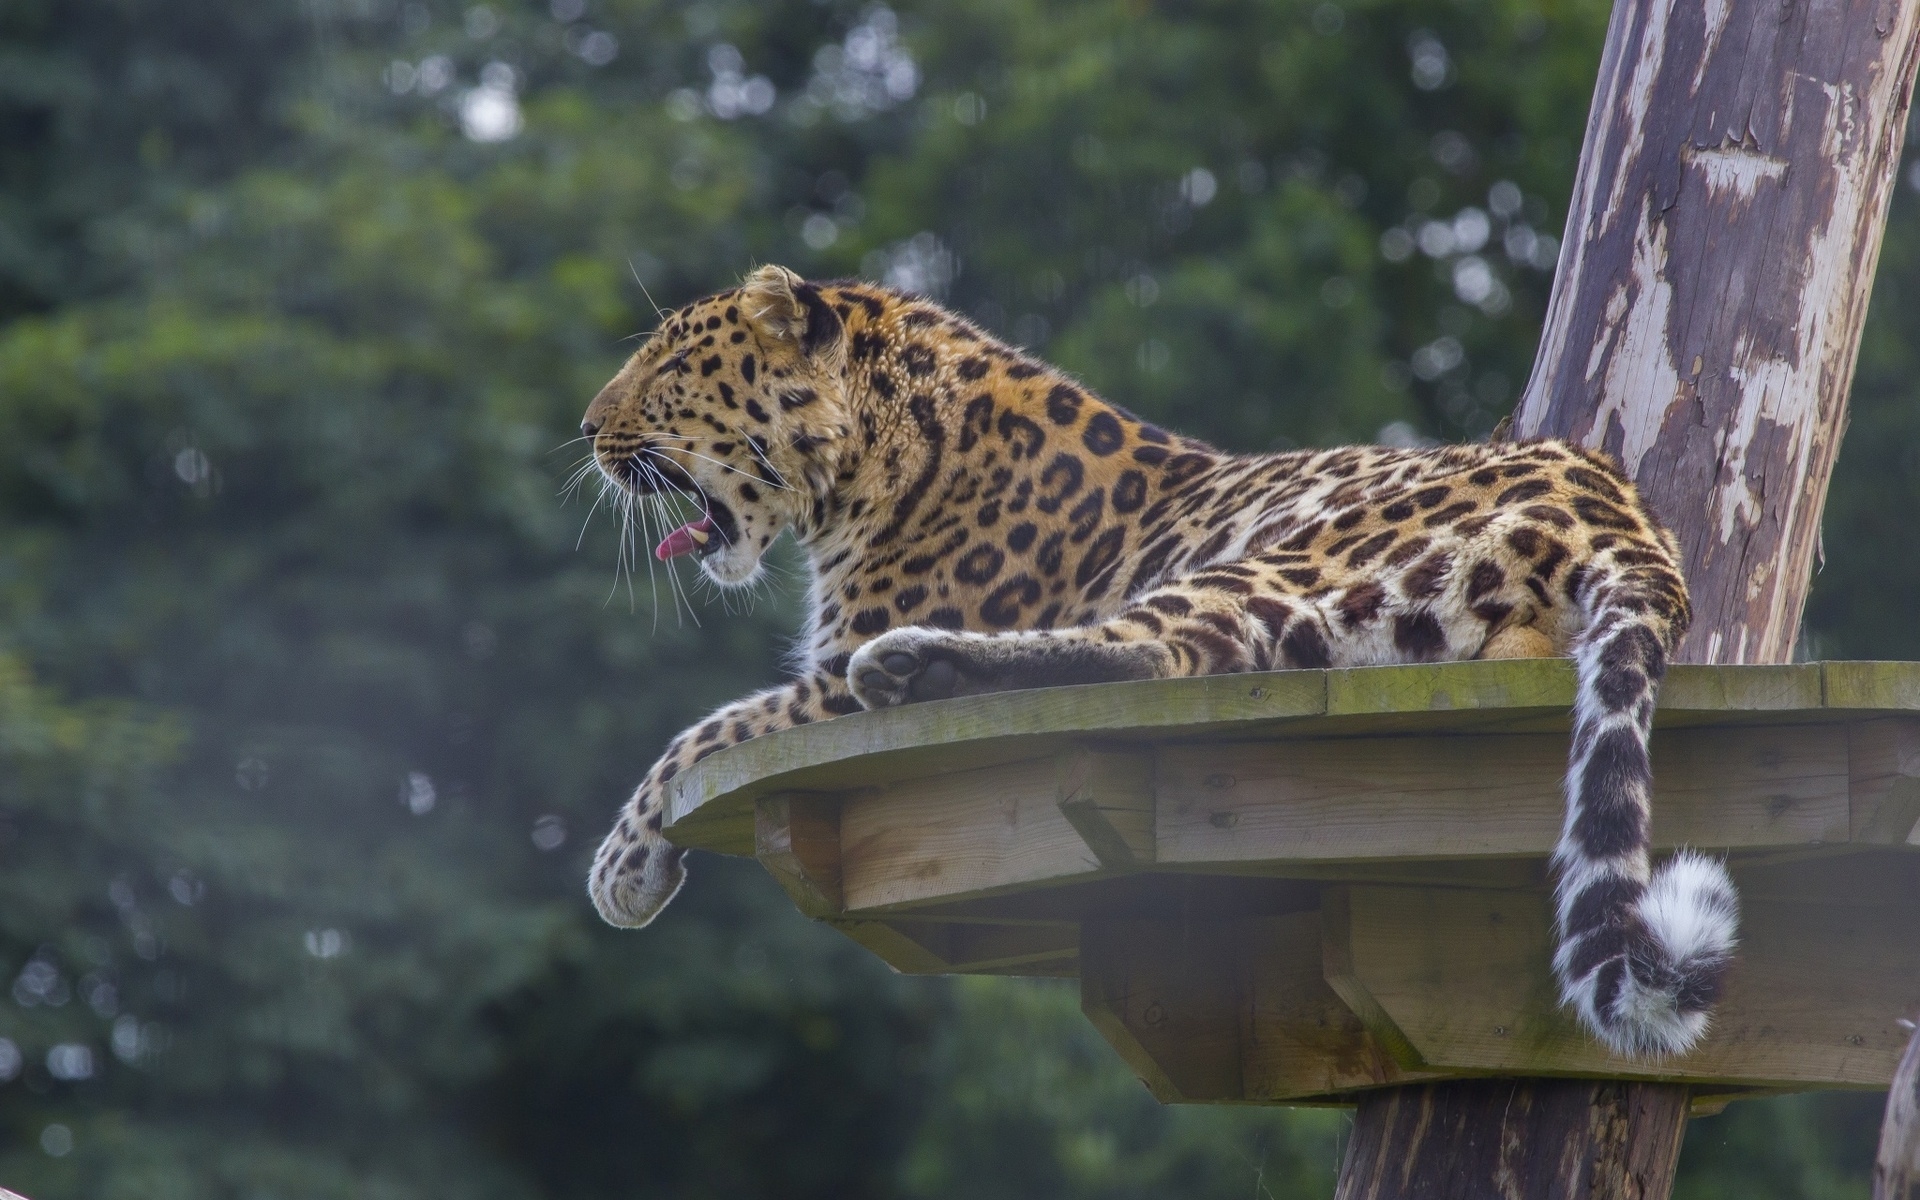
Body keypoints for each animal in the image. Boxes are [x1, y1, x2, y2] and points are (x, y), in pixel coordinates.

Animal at [579, 264, 1743, 1059]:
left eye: (671, 366)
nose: (587, 428)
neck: (878, 454)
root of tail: (1622, 510)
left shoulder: (820, 677)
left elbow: (707, 729)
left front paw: (621, 867)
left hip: (1288, 549)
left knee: (1157, 652)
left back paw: (914, 672)